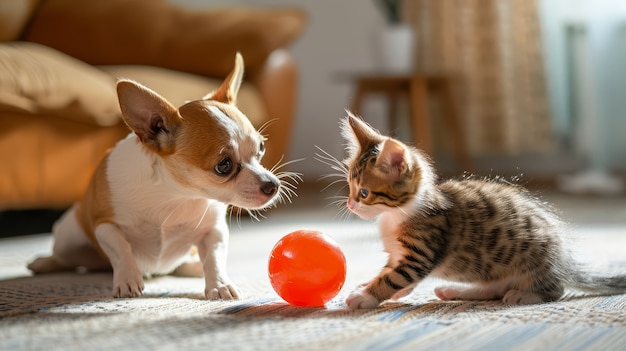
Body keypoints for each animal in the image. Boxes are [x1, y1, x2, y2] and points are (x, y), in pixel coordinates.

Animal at [28, 53, 282, 302]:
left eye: (261, 148)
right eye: (224, 165)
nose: (273, 185)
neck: (176, 196)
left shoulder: (214, 231)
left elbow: (214, 258)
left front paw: (219, 284)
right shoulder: (105, 226)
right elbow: (121, 249)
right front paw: (128, 278)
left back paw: (194, 267)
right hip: (68, 239)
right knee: (67, 258)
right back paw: (43, 263)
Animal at [322, 113, 624, 310]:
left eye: (364, 193)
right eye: (350, 187)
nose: (350, 204)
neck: (397, 215)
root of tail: (565, 263)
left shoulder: (420, 254)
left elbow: (393, 277)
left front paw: (365, 296)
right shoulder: (399, 254)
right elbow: (389, 272)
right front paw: (370, 288)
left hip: (535, 260)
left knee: (555, 290)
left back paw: (524, 296)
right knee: (494, 287)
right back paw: (454, 289)